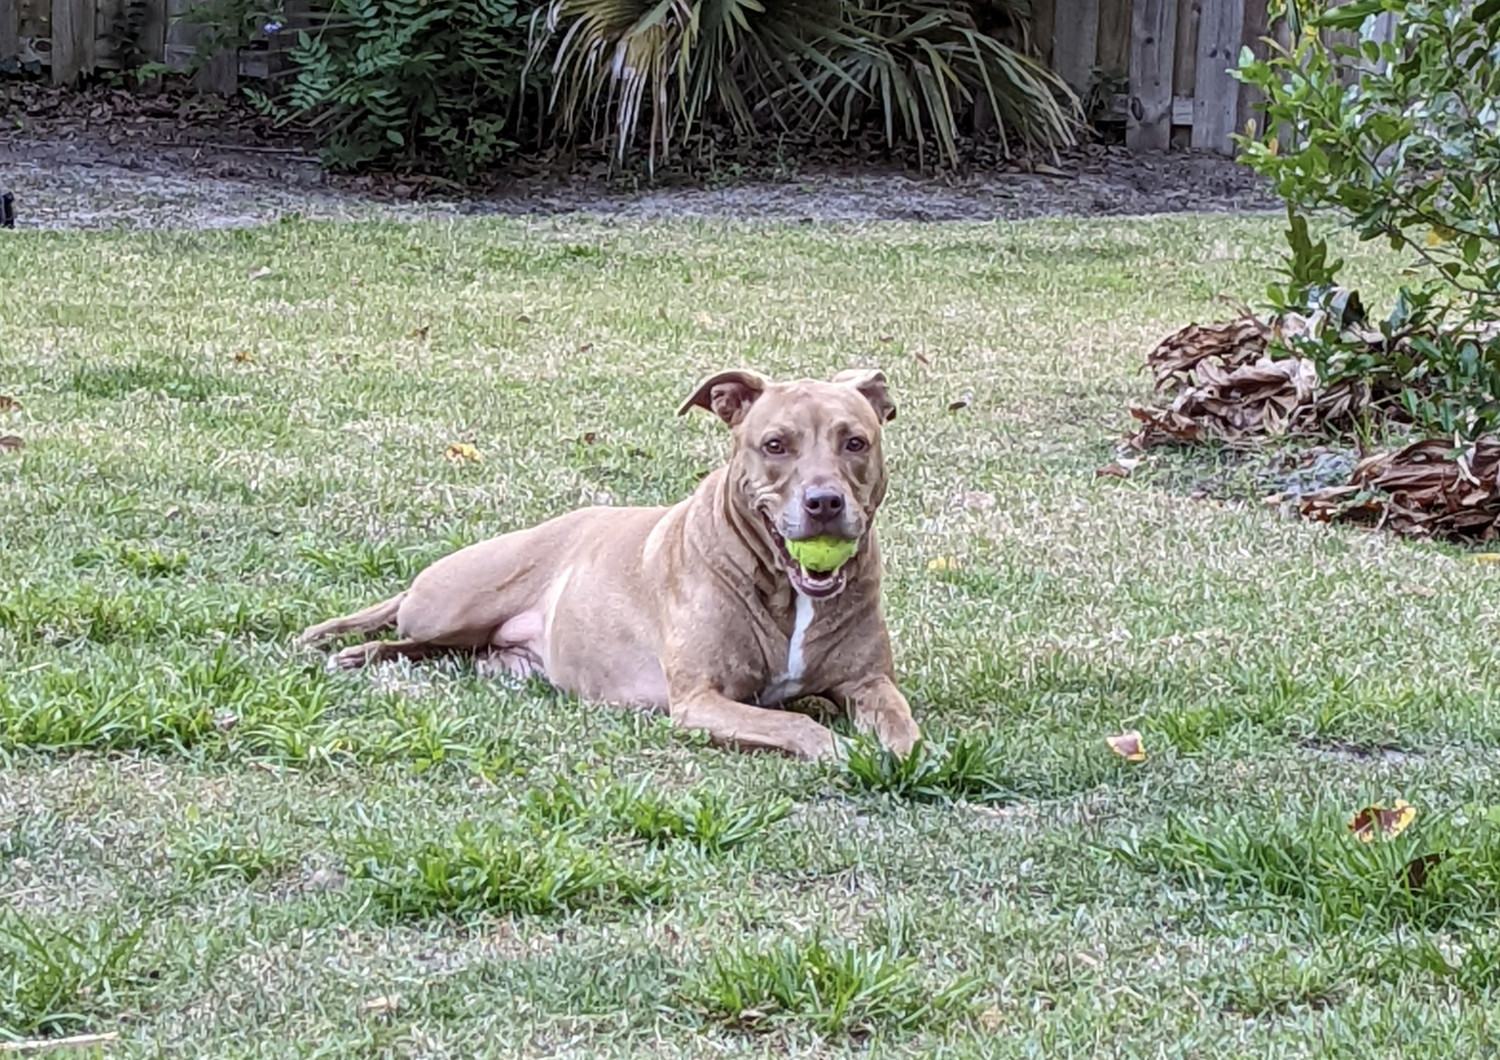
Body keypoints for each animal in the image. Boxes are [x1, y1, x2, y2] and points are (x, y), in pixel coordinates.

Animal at [297, 368, 918, 758]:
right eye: (775, 445)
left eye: (855, 442)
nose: (824, 503)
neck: (783, 590)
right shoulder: (700, 700)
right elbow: (793, 719)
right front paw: (838, 749)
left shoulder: (867, 680)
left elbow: (899, 718)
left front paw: (907, 752)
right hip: (454, 602)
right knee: (404, 620)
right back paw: (348, 647)